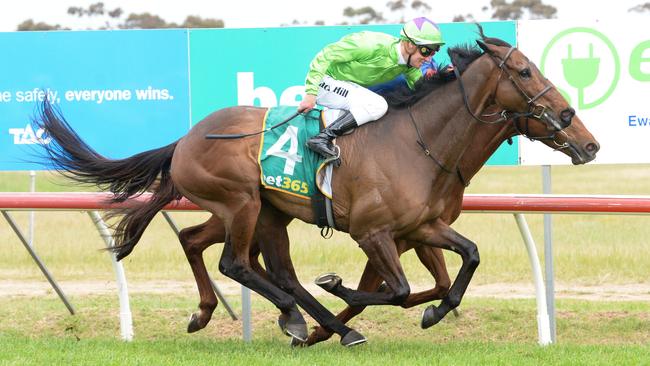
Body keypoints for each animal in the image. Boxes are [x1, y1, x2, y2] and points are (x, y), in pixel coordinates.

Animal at [33, 25, 596, 346]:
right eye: (523, 71)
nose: (584, 137)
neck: (420, 143)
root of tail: (186, 138)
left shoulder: (419, 229)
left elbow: (454, 271)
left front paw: (431, 313)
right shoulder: (374, 233)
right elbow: (396, 290)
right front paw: (337, 295)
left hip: (257, 211)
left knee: (214, 248)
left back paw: (230, 316)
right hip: (241, 204)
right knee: (238, 264)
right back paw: (305, 321)